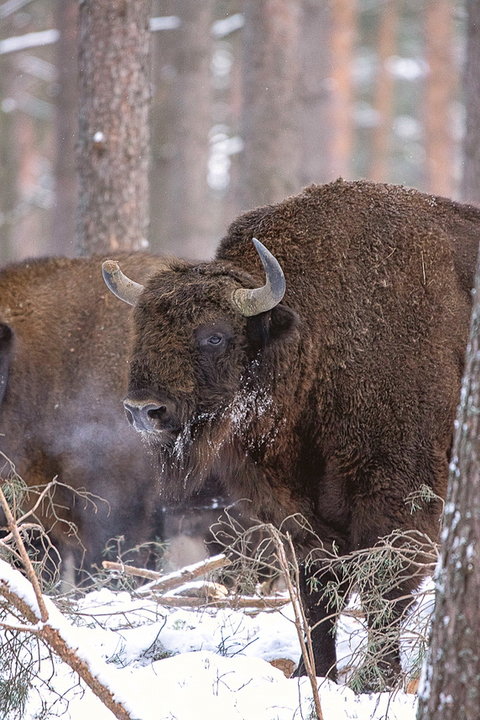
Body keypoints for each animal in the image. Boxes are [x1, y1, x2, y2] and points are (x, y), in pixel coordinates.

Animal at [102, 180, 480, 680]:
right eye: (141, 329)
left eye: (215, 335)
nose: (144, 410)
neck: (316, 334)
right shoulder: (297, 512)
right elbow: (316, 590)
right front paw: (313, 674)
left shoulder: (397, 495)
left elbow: (383, 590)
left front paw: (377, 680)